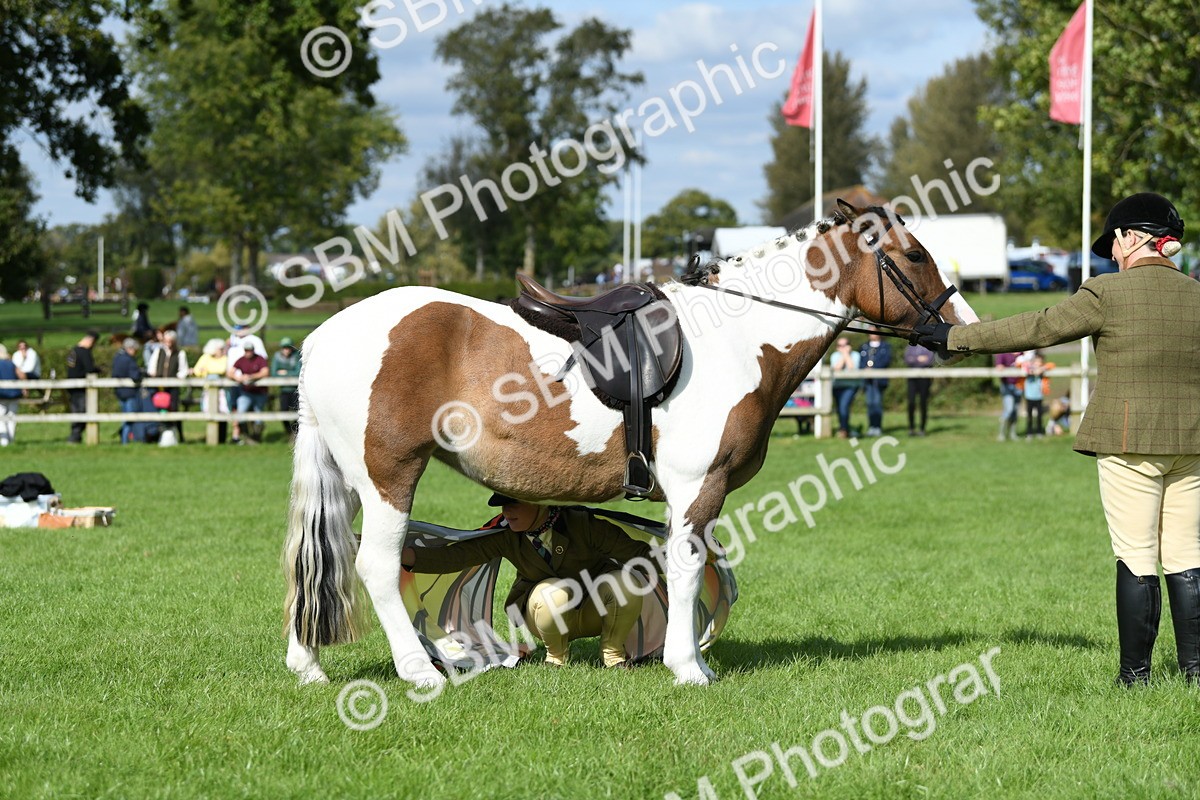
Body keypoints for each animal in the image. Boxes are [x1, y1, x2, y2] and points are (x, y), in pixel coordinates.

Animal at [282, 199, 980, 688]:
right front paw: (689, 669)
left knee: (317, 559)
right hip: (388, 476)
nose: (960, 327)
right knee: (374, 565)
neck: (737, 338)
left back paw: (307, 665)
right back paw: (419, 672)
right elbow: (690, 566)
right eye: (915, 256)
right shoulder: (700, 486)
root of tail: (323, 336)